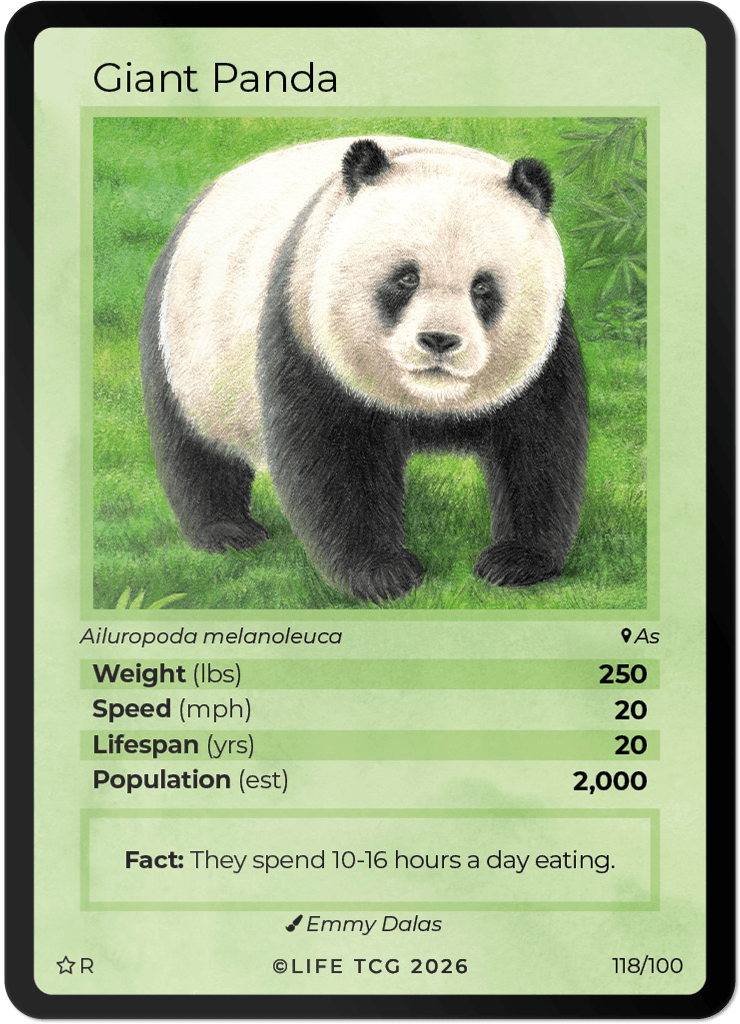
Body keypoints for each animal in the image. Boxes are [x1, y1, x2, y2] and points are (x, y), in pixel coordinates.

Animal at [140, 135, 588, 603]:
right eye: (406, 278)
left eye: (482, 287)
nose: (439, 341)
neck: (430, 403)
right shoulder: (306, 328)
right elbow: (335, 462)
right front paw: (382, 573)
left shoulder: (546, 354)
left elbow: (539, 448)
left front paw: (515, 561)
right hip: (186, 345)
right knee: (192, 447)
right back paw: (227, 532)